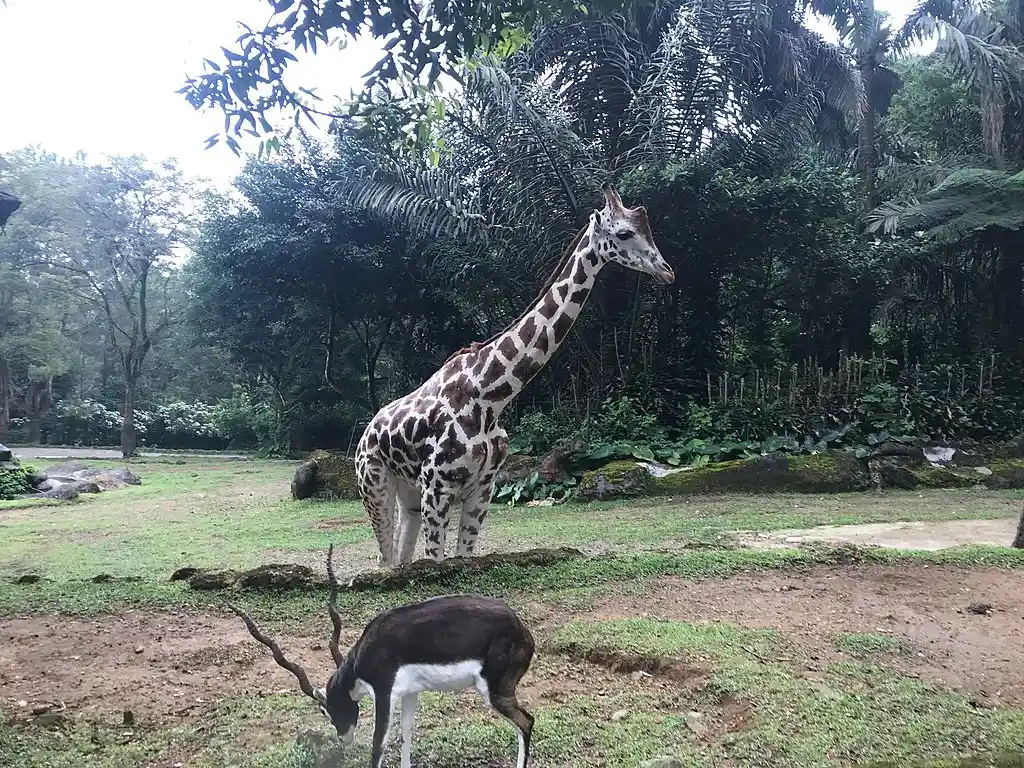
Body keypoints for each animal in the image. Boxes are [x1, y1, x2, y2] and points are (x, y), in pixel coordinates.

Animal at [228, 548, 536, 768]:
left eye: (324, 710)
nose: (343, 738)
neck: (364, 655)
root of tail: (522, 628)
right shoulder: (411, 693)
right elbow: (405, 735)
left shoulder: (384, 694)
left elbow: (379, 745)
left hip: (494, 692)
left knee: (526, 721)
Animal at [352, 184, 671, 569]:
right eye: (624, 233)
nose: (667, 271)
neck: (491, 397)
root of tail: (364, 435)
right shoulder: (437, 489)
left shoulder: (481, 490)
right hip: (374, 486)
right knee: (385, 560)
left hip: (408, 495)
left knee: (399, 558)